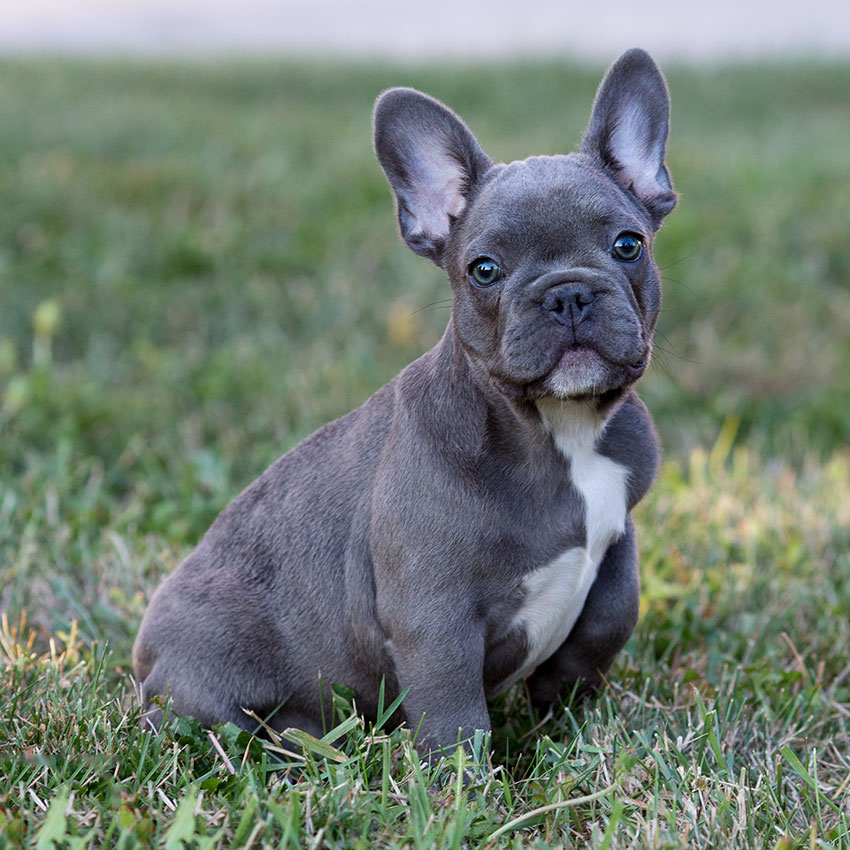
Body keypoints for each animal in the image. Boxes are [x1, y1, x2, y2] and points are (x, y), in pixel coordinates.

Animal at [132, 48, 676, 748]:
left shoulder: (617, 538)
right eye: (484, 270)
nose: (568, 293)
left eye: (628, 244)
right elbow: (453, 711)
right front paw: (465, 777)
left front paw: (566, 723)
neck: (559, 430)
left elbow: (611, 614)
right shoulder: (433, 617)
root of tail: (145, 661)